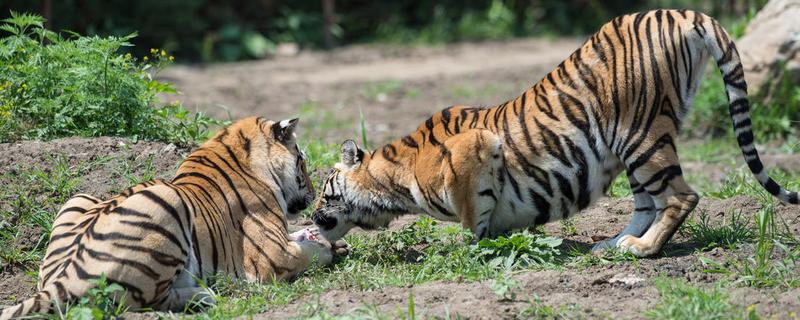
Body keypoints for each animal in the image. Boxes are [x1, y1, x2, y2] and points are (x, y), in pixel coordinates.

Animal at [0, 116, 340, 318]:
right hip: (166, 204)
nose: (313, 194)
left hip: (78, 198)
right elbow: (309, 253)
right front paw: (329, 249)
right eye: (302, 161)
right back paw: (204, 296)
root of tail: (63, 277)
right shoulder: (273, 255)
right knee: (143, 302)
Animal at [310, 10, 800, 258]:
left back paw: (642, 249)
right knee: (648, 201)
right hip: (642, 139)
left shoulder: (476, 148)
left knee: (681, 196)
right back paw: (613, 243)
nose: (310, 218)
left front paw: (474, 249)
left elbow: (471, 215)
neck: (392, 184)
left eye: (324, 192)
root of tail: (681, 12)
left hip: (639, 133)